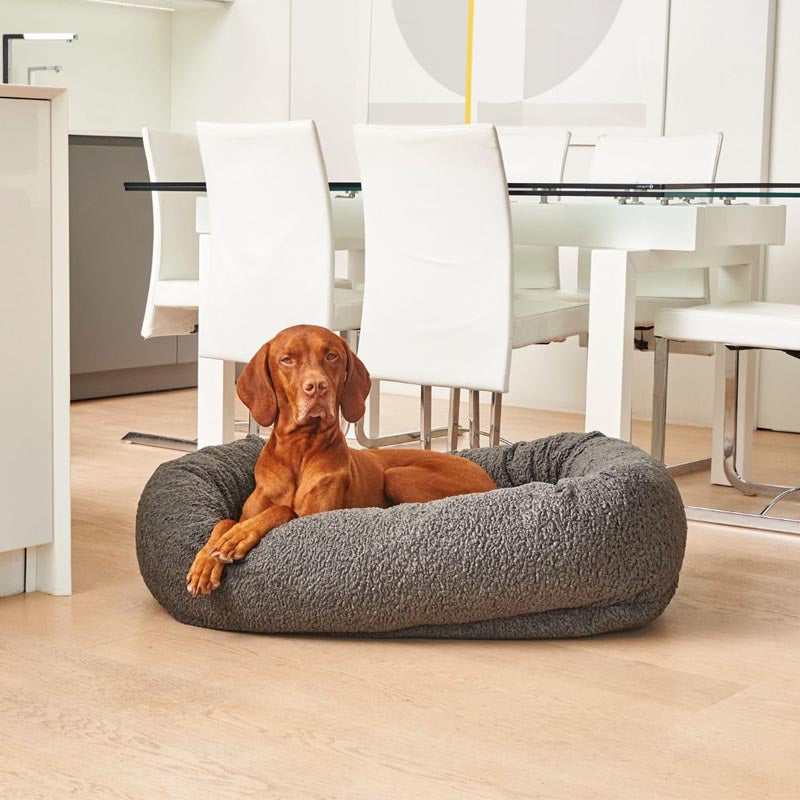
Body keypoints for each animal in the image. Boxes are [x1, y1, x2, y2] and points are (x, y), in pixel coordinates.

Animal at [188, 320, 496, 592]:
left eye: (331, 355)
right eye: (287, 359)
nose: (317, 386)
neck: (300, 450)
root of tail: (490, 480)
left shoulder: (316, 518)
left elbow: (283, 510)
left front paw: (237, 538)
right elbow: (224, 522)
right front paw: (206, 561)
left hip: (396, 475)